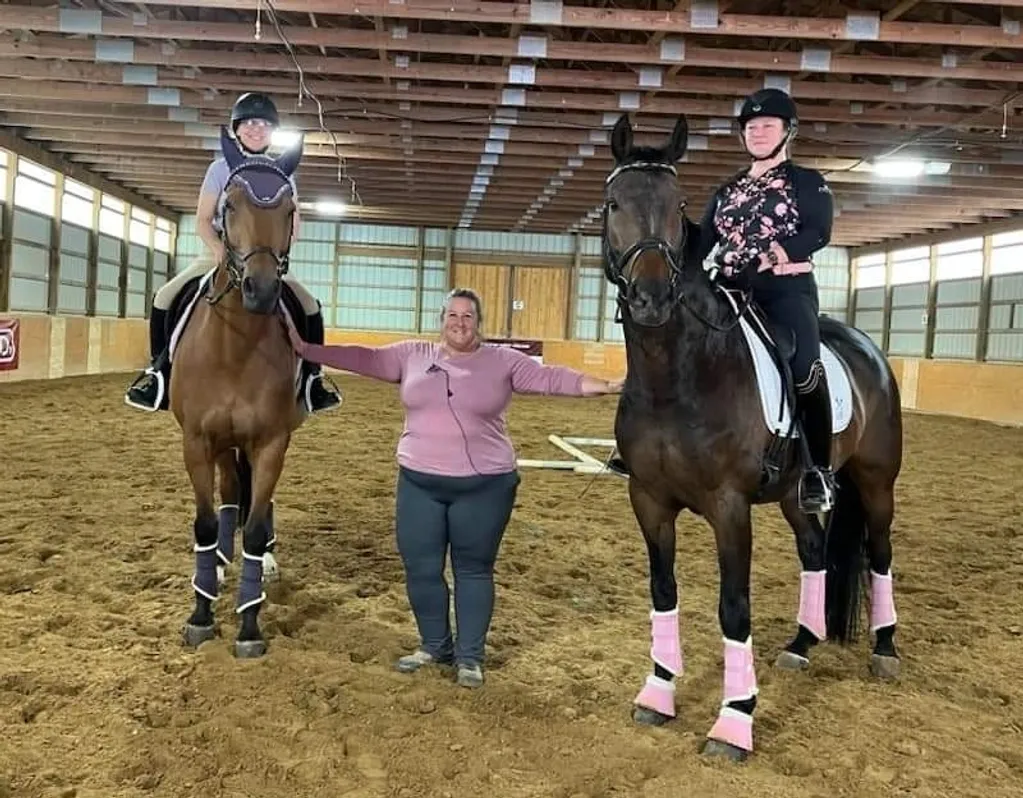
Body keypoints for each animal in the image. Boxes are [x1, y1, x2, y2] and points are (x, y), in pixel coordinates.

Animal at [169, 126, 306, 658]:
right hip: (223, 445)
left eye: (289, 209)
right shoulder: (197, 441)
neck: (236, 349)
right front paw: (201, 614)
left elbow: (258, 523)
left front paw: (249, 625)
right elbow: (207, 522)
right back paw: (220, 566)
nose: (261, 290)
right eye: (229, 204)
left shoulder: (271, 442)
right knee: (231, 495)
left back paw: (261, 562)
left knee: (254, 506)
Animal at [597, 113, 904, 761]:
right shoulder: (648, 499)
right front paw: (658, 694)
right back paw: (801, 644)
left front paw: (734, 723)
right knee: (814, 551)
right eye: (613, 204)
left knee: (881, 553)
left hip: (875, 481)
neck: (678, 376)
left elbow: (733, 609)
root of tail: (865, 346)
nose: (651, 300)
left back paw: (885, 649)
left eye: (677, 204)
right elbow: (663, 592)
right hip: (796, 491)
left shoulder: (730, 507)